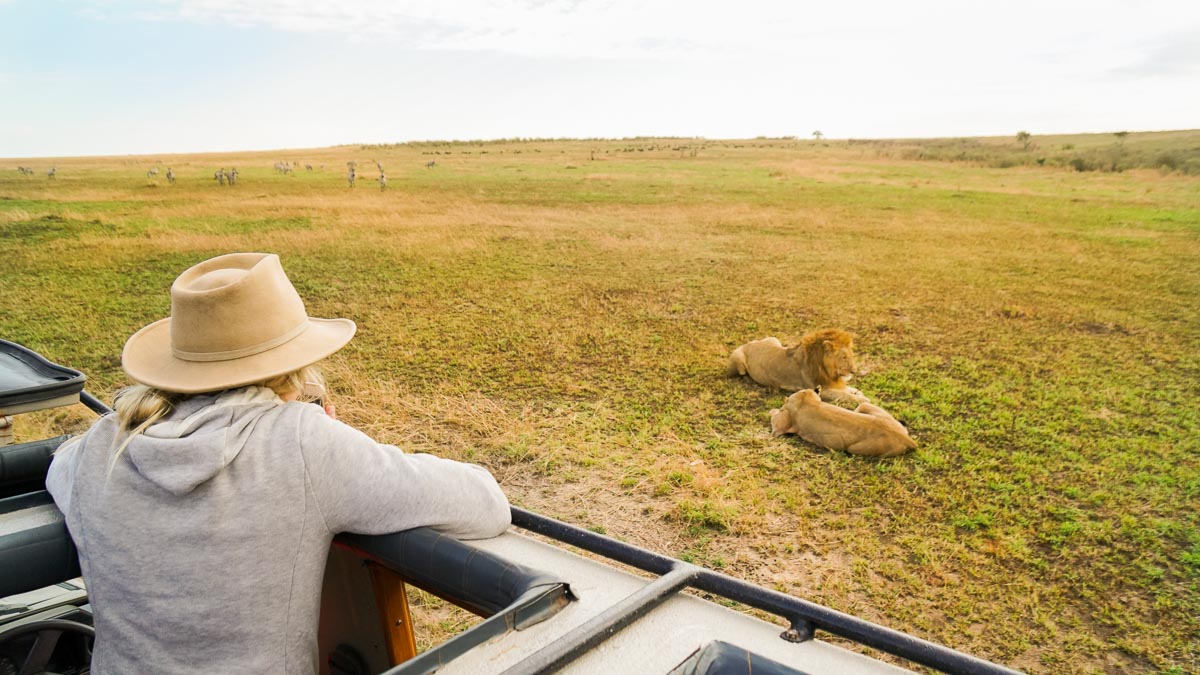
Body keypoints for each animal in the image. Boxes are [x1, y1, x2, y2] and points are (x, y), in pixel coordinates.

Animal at [724, 326, 868, 401]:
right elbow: (844, 395)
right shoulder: (817, 388)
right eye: (843, 356)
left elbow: (847, 389)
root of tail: (748, 343)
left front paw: (858, 393)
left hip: (774, 339)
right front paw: (863, 399)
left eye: (851, 354)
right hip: (739, 360)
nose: (854, 371)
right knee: (741, 374)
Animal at [772, 389, 912, 456]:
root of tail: (908, 440)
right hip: (867, 406)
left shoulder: (781, 426)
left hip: (853, 449)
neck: (807, 400)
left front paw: (772, 410)